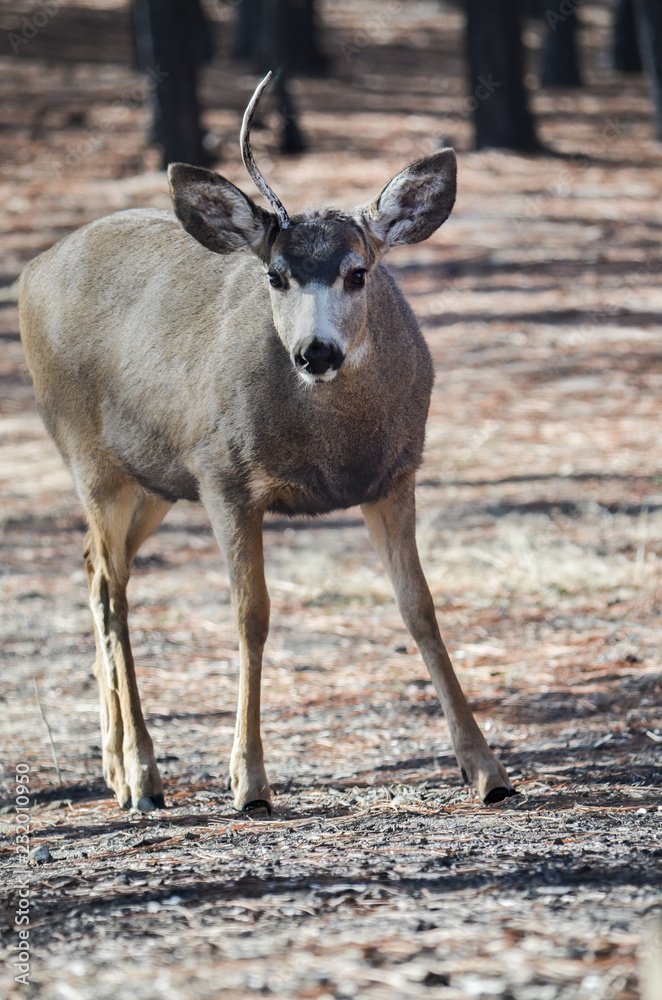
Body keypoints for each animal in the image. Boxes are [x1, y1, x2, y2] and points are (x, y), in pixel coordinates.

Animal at [19, 74, 516, 814]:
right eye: (276, 275)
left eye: (358, 271)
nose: (316, 352)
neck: (331, 453)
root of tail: (31, 271)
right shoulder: (223, 476)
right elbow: (251, 614)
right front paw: (248, 780)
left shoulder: (395, 477)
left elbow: (420, 609)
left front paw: (487, 770)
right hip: (90, 456)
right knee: (111, 584)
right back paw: (141, 774)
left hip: (153, 480)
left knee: (93, 564)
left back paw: (112, 766)